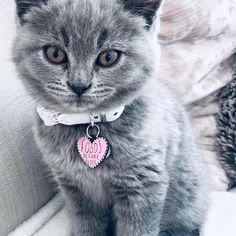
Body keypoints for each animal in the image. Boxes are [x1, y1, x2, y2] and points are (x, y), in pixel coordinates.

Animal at [13, 0, 210, 235]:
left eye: (108, 57)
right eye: (54, 53)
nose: (79, 85)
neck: (85, 123)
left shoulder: (143, 187)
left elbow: (137, 229)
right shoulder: (74, 190)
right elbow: (86, 225)